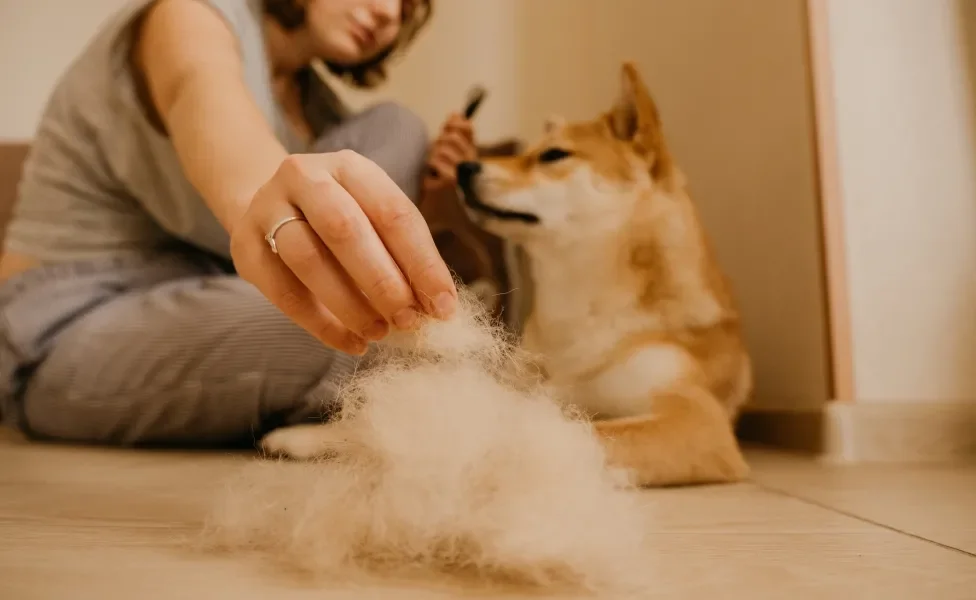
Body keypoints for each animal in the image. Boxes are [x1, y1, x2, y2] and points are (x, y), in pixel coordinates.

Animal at [454, 63, 752, 488]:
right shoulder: (520, 387)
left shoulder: (695, 420)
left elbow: (582, 434)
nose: (463, 167)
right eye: (526, 152)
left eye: (553, 154)